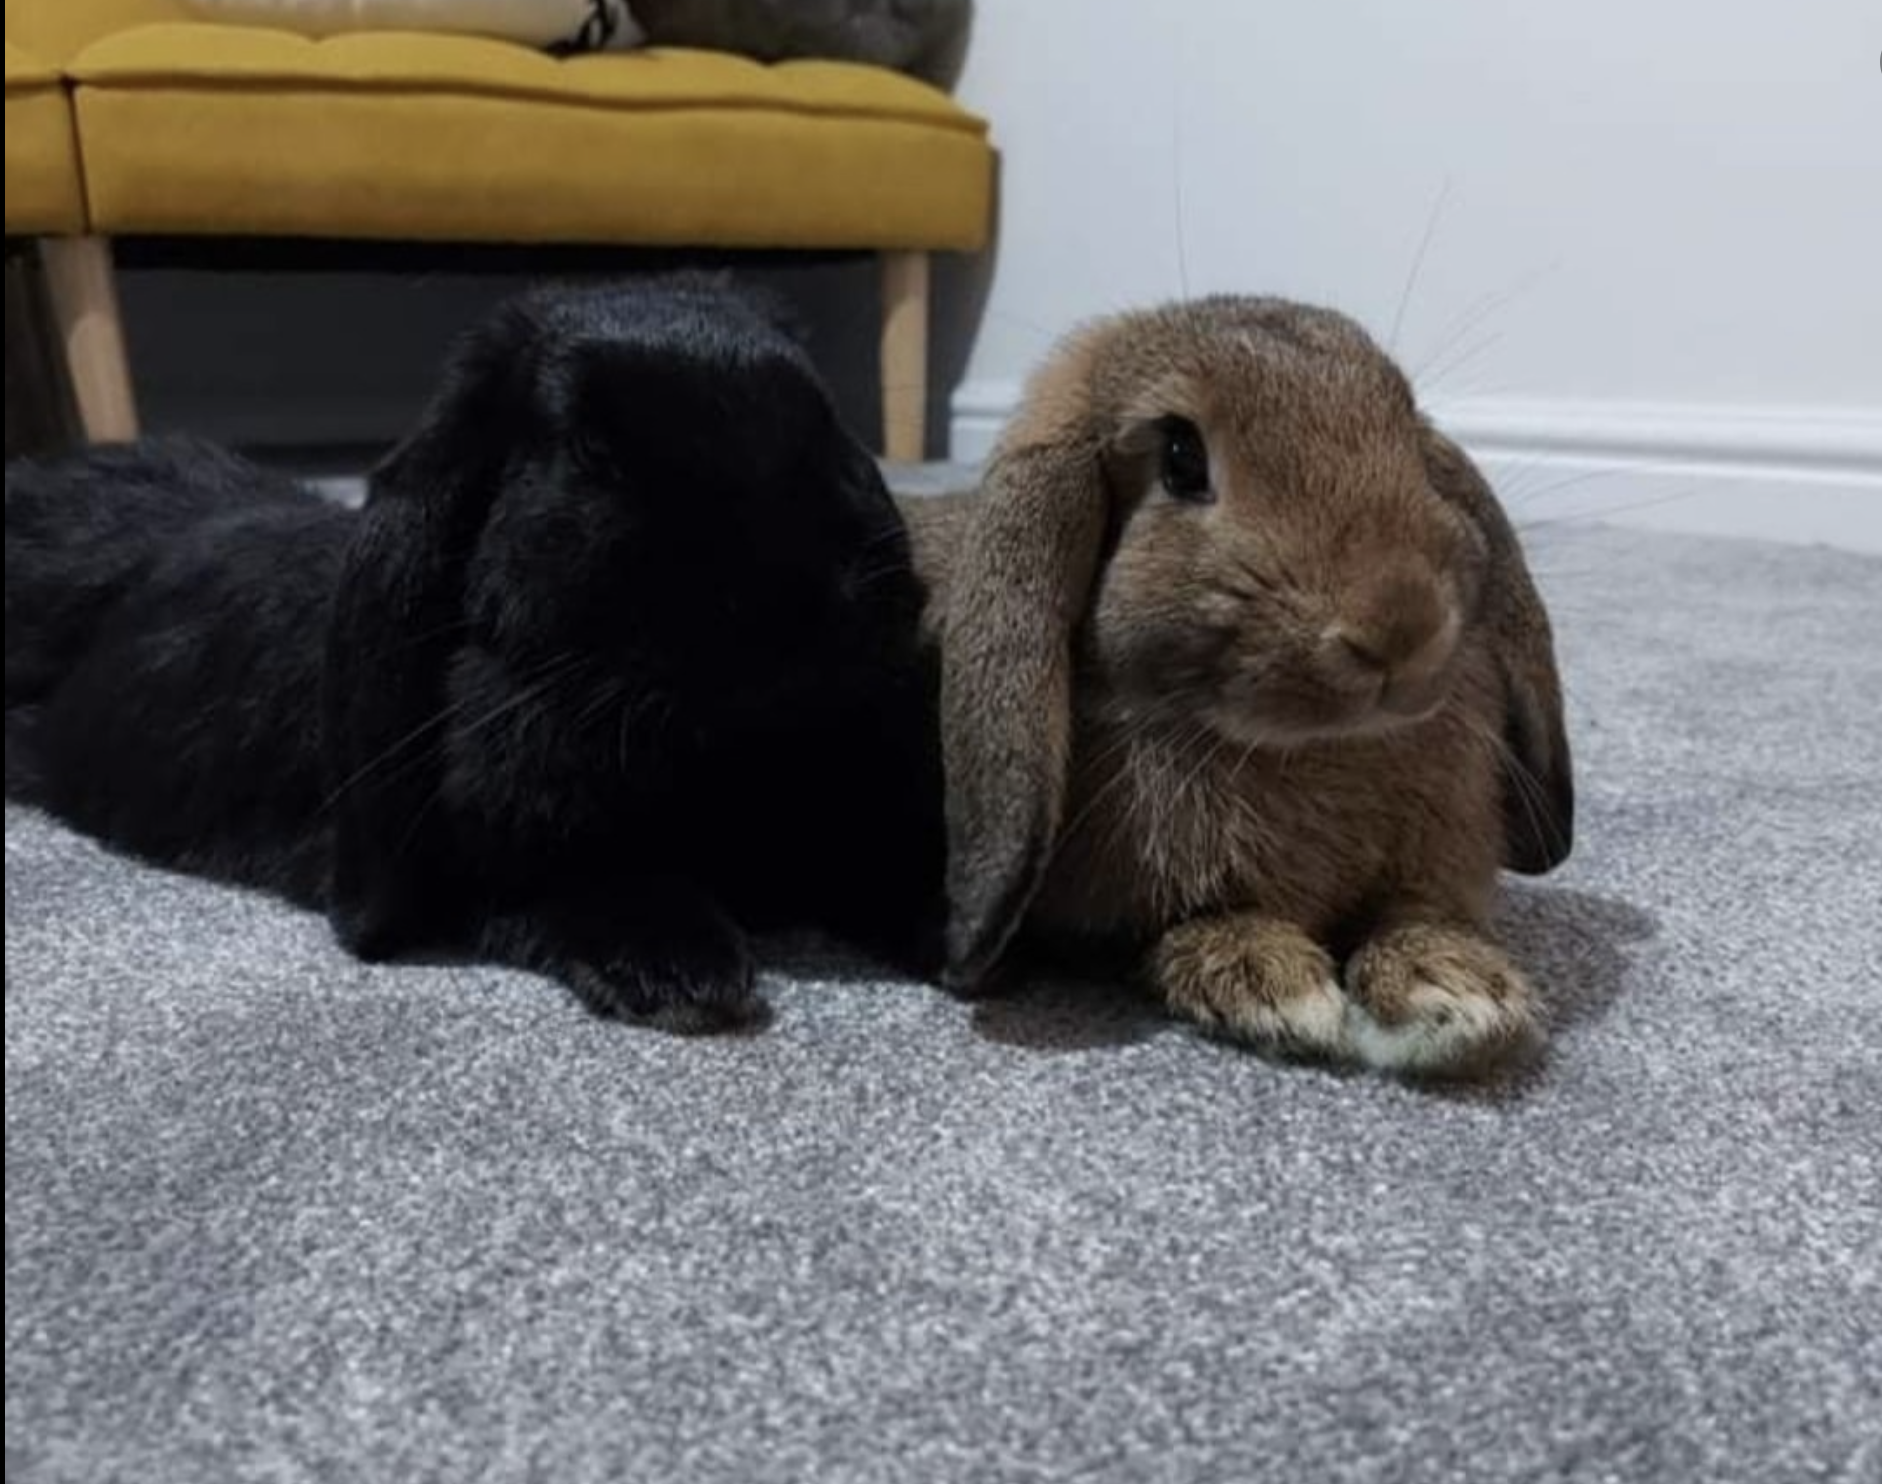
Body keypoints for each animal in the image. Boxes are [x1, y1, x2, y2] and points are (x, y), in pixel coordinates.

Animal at [6, 276, 943, 1031]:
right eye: (588, 451)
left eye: (823, 423)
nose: (796, 609)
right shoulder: (489, 865)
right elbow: (580, 882)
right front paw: (682, 973)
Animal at [897, 295, 1573, 1075]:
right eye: (1181, 458)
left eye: (1408, 431)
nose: (1401, 628)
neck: (1318, 746)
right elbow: (1197, 922)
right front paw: (1277, 990)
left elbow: (1416, 917)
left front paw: (1457, 992)